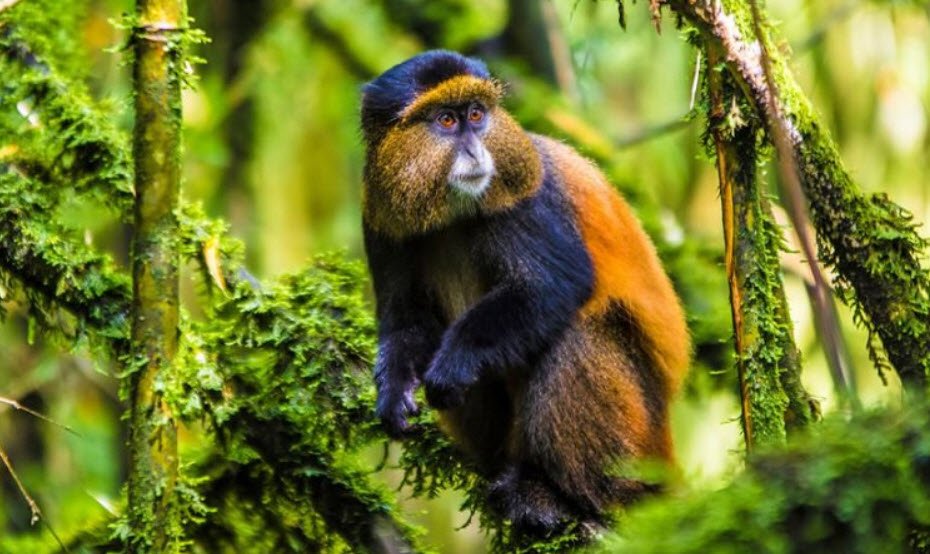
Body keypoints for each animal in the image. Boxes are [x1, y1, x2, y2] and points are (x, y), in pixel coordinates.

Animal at [360, 50, 690, 534]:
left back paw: (561, 496)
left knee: (577, 334)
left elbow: (553, 286)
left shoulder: (526, 199)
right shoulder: (381, 220)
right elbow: (406, 320)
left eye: (476, 115)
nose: (476, 150)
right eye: (446, 120)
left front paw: (454, 362)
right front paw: (394, 390)